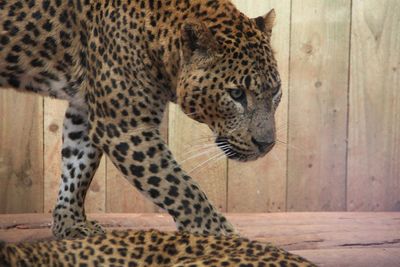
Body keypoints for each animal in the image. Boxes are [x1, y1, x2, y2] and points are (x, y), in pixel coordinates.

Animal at [0, 0, 282, 239]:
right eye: (236, 94)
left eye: (276, 90)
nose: (266, 144)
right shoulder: (123, 125)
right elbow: (179, 187)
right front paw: (220, 238)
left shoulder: (86, 110)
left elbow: (77, 165)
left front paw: (69, 223)